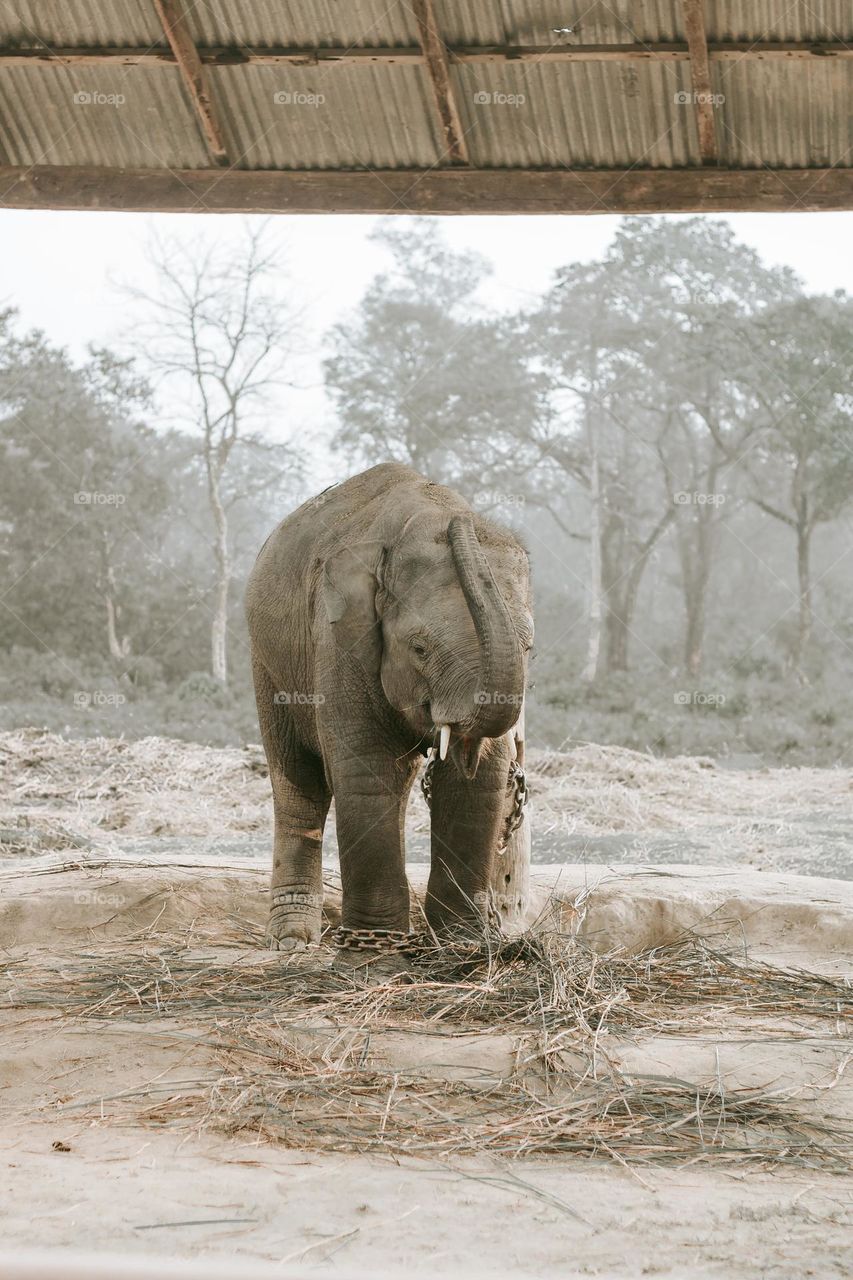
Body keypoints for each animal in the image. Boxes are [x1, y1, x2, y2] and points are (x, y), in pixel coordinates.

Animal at [245, 462, 533, 968]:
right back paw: (292, 942)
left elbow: (479, 782)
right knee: (298, 781)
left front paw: (463, 951)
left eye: (530, 648)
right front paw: (372, 965)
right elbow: (367, 769)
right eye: (419, 648)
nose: (462, 526)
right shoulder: (338, 637)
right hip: (269, 663)